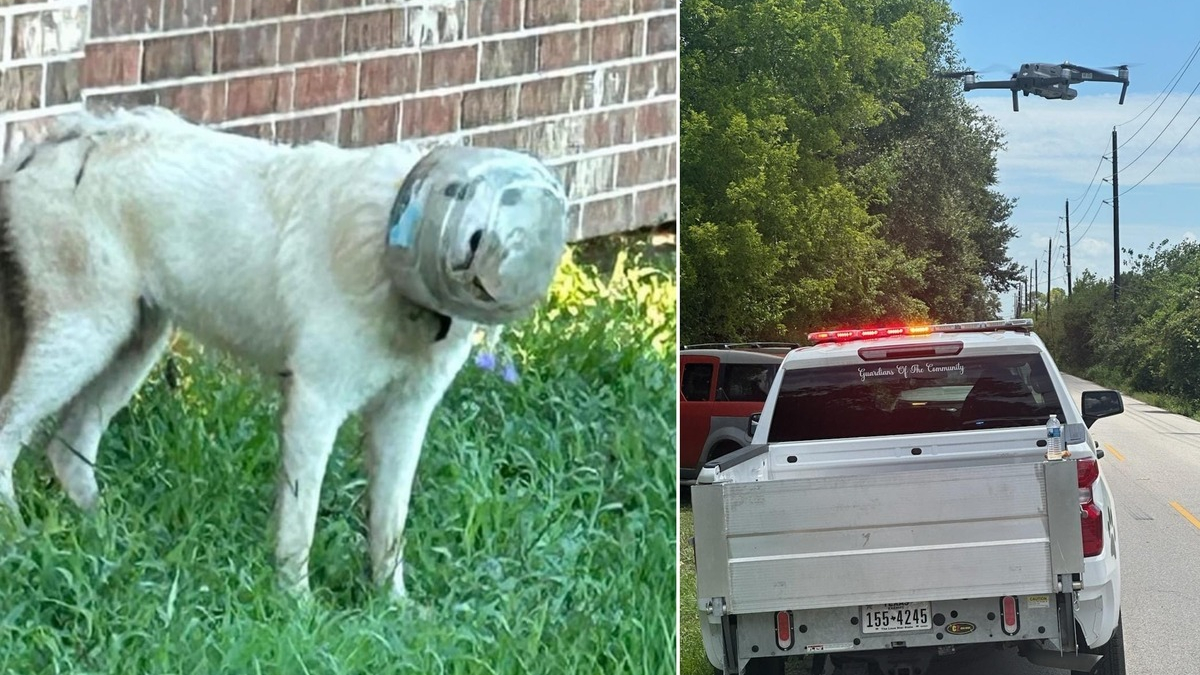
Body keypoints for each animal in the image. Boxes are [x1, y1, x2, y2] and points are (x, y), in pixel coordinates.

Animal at [0, 106, 566, 593]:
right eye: (461, 196)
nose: (483, 254)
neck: (387, 245)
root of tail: (61, 140)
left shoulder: (406, 414)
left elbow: (390, 523)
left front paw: (393, 605)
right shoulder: (316, 402)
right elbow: (301, 520)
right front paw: (296, 602)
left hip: (134, 342)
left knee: (68, 446)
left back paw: (108, 537)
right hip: (85, 333)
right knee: (11, 430)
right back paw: (18, 535)